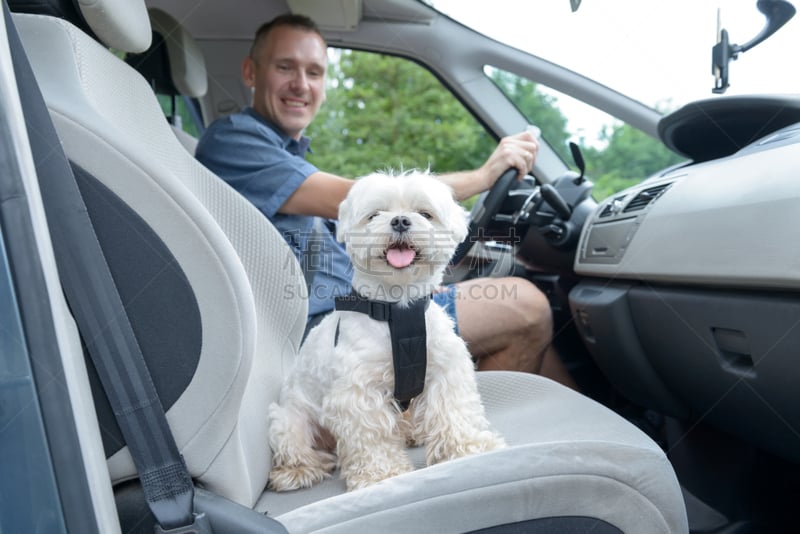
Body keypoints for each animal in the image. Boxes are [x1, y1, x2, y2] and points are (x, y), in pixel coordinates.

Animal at [268, 172, 506, 494]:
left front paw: (470, 448)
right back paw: (299, 469)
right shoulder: (358, 392)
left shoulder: (446, 370)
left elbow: (453, 412)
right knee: (295, 445)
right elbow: (372, 438)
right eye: (375, 215)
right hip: (288, 421)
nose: (401, 221)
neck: (398, 310)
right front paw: (381, 475)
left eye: (425, 214)